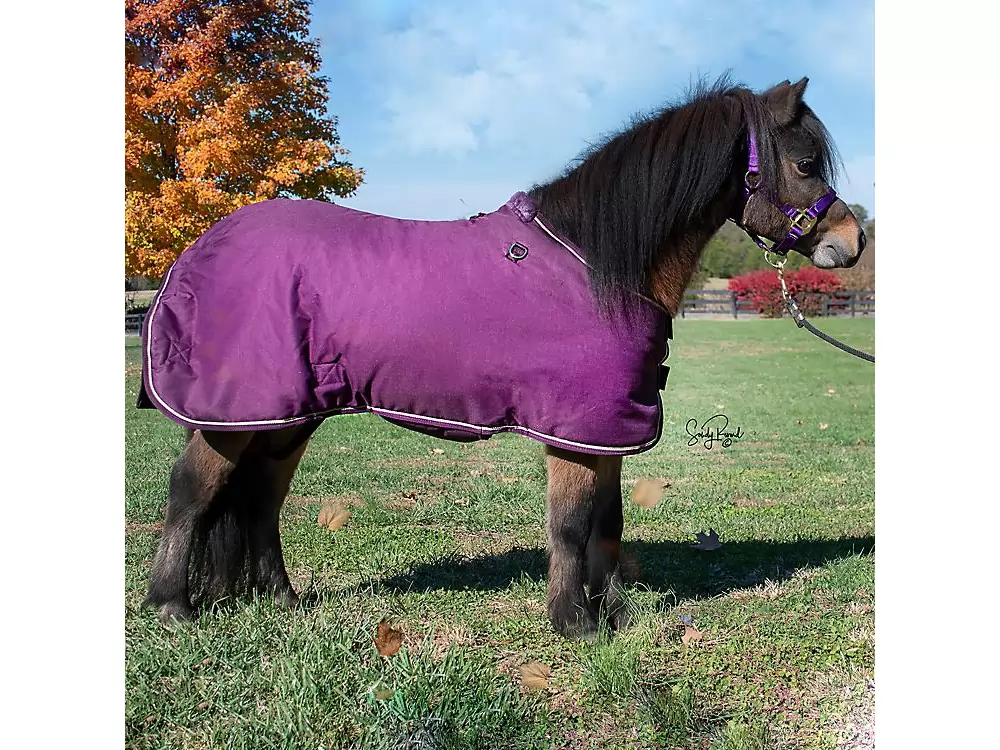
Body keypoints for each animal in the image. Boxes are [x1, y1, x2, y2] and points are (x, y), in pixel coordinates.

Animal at [137, 76, 866, 639]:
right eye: (805, 164)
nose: (853, 243)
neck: (597, 263)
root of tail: (199, 249)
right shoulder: (573, 430)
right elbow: (570, 523)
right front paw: (573, 623)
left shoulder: (604, 428)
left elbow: (607, 522)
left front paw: (611, 612)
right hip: (237, 413)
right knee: (193, 490)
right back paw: (172, 606)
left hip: (286, 414)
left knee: (260, 497)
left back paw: (281, 600)